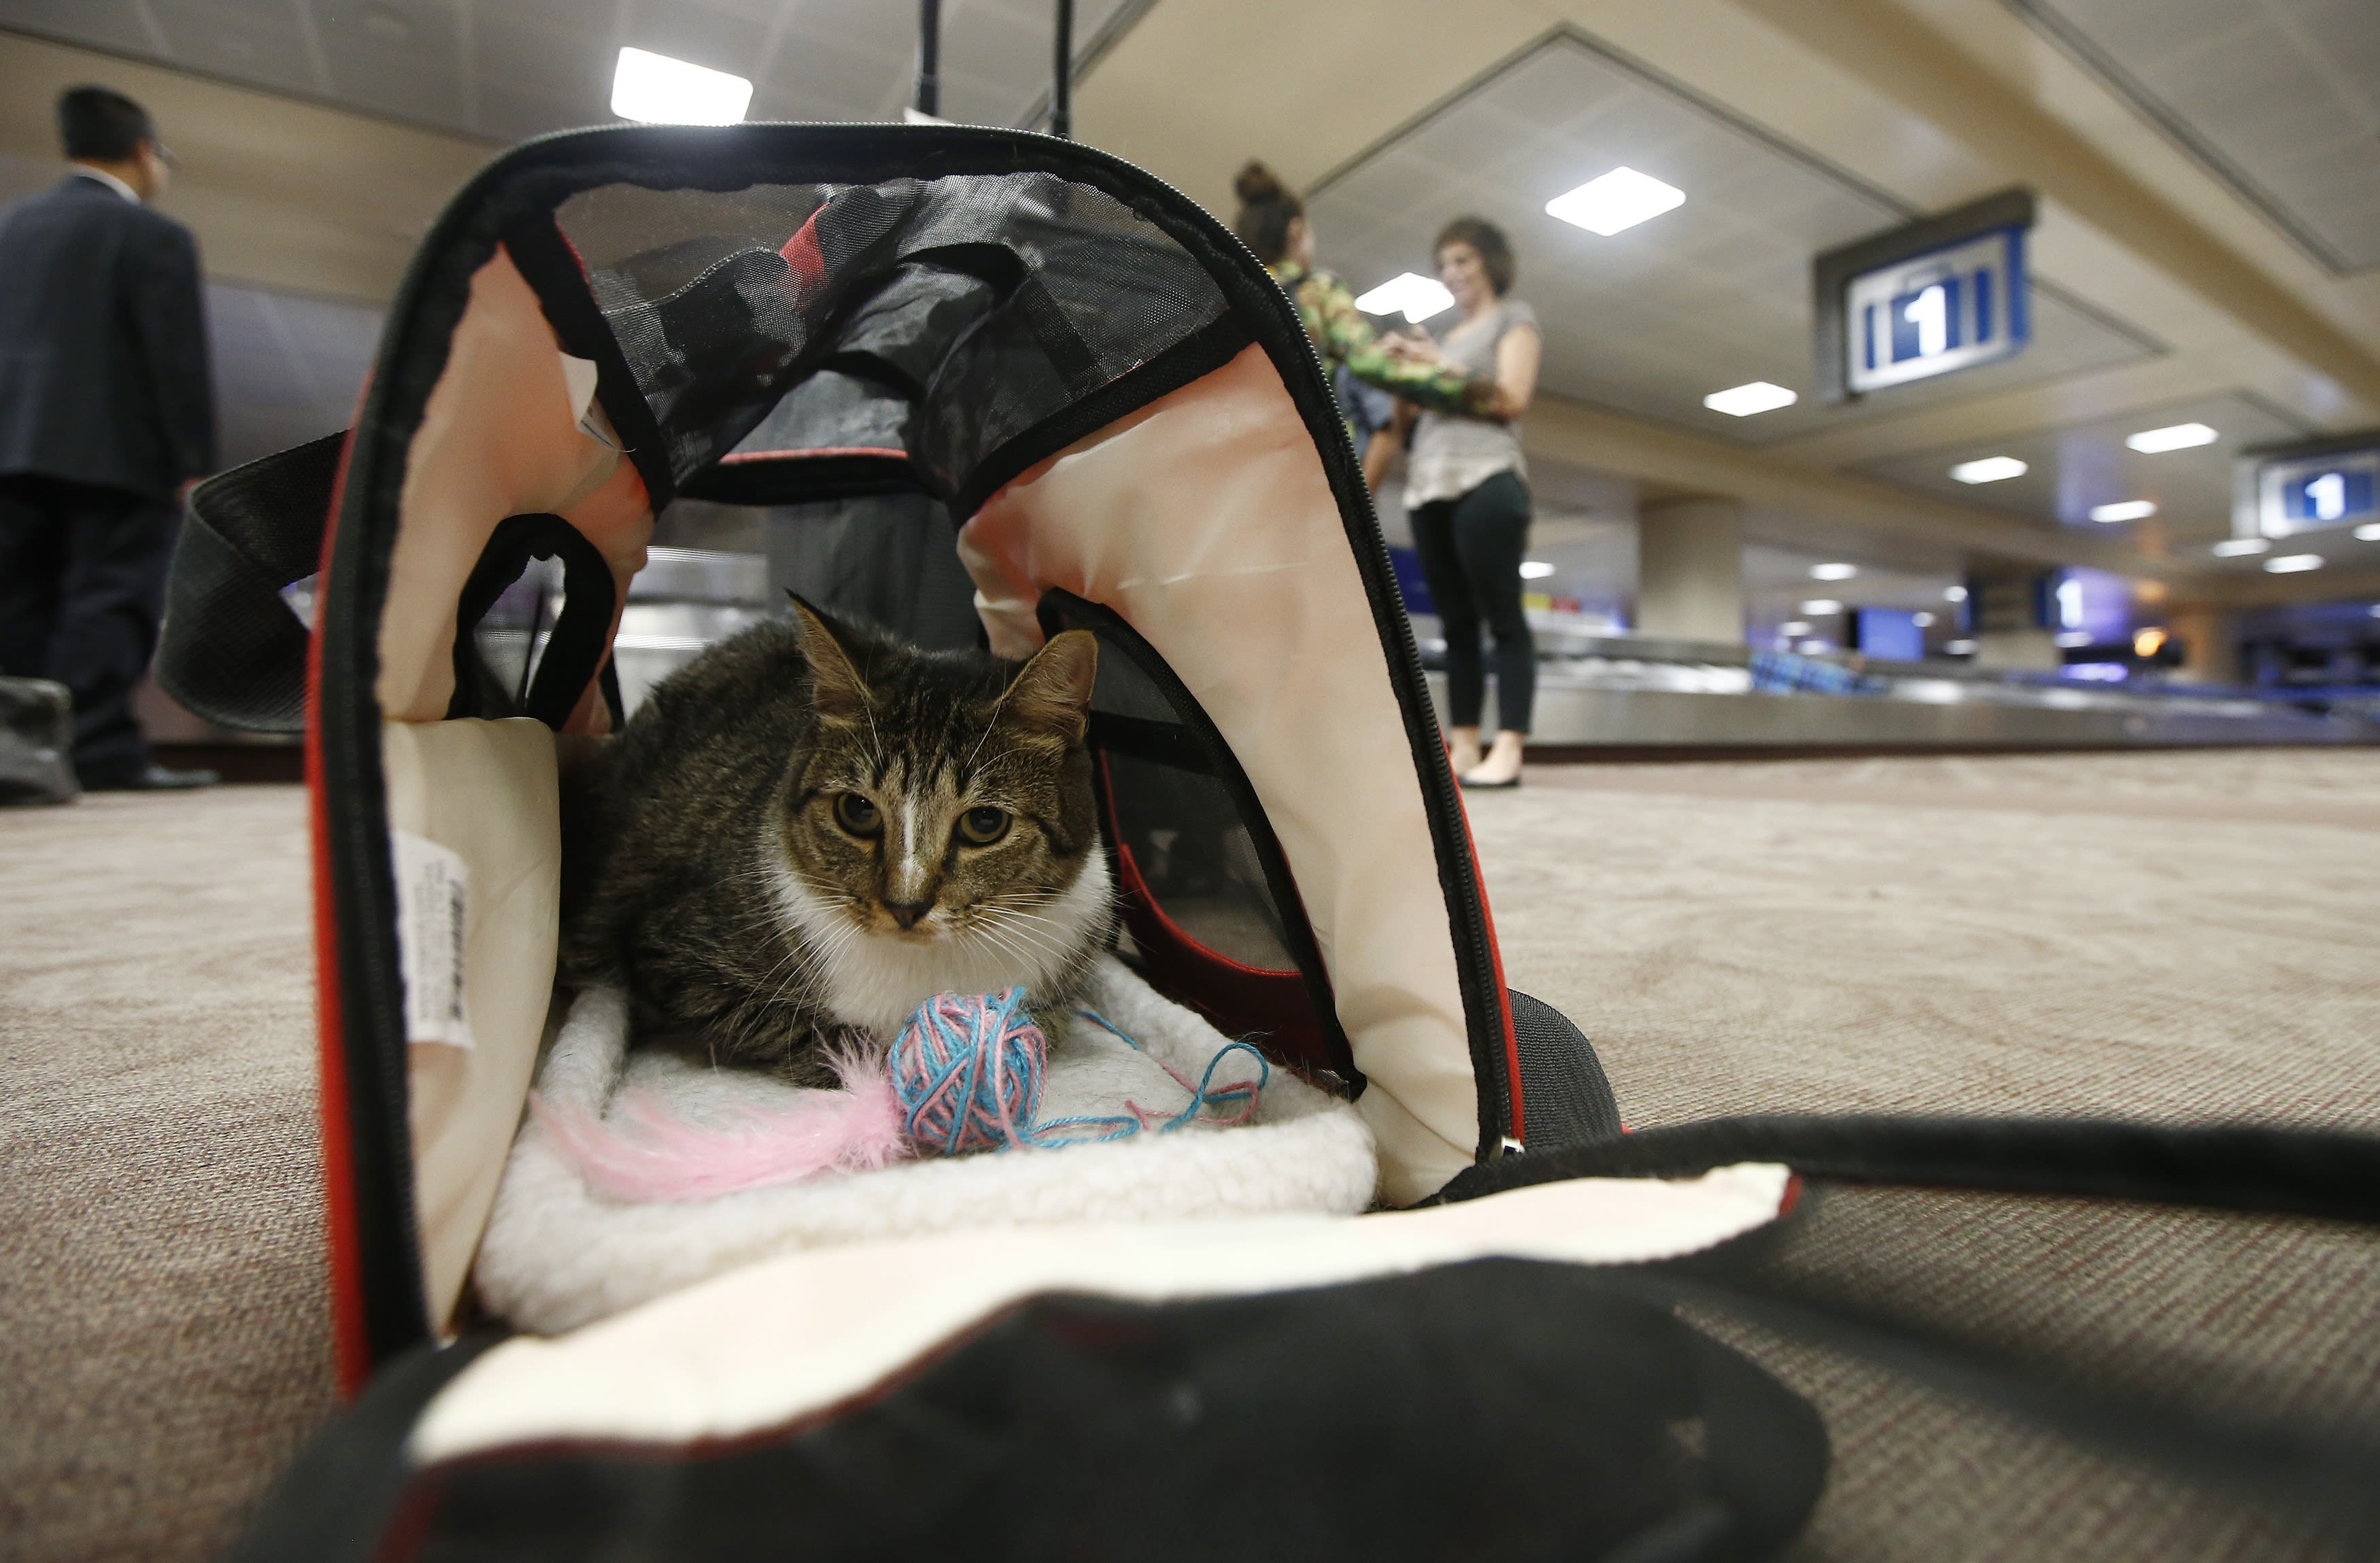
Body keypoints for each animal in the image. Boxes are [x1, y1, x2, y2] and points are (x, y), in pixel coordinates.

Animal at [562, 592, 1109, 1080]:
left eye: (985, 824)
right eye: (857, 811)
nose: (906, 906)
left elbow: (1052, 1021)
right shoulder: (671, 953)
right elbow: (806, 1030)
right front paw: (872, 1063)